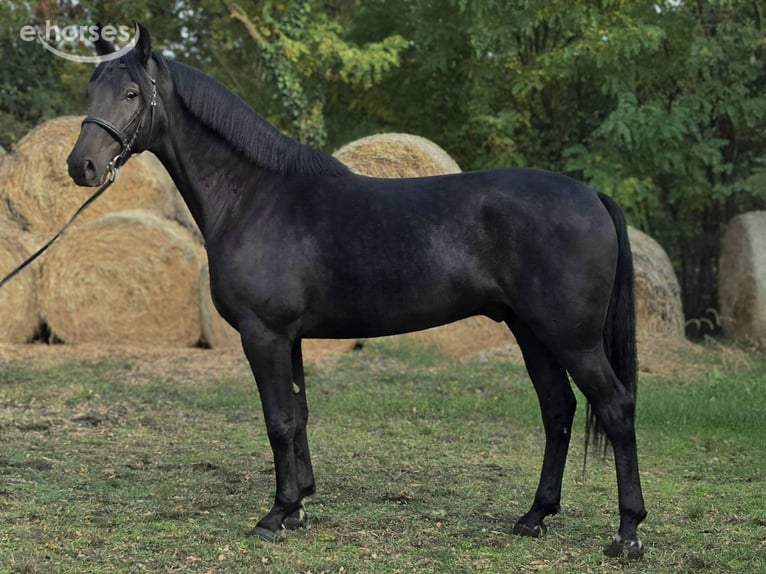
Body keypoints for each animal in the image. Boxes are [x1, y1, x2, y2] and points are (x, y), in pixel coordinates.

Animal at [67, 24, 647, 558]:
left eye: (132, 93)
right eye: (91, 89)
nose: (81, 166)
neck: (254, 197)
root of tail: (592, 195)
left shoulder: (264, 334)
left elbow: (278, 419)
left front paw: (275, 515)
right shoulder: (289, 338)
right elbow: (298, 415)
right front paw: (299, 504)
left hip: (571, 338)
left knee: (616, 408)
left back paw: (628, 533)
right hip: (532, 332)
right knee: (558, 411)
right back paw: (534, 516)